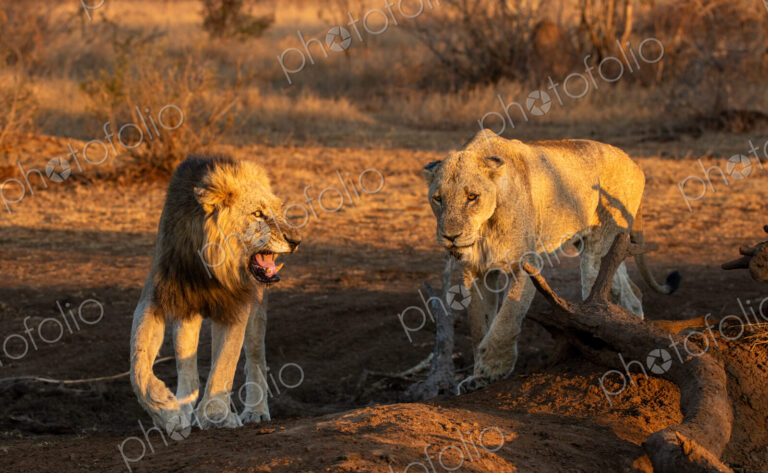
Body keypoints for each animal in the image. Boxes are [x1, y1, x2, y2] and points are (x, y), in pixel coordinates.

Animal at [130, 155, 301, 434]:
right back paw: (182, 406)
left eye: (278, 211)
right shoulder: (157, 297)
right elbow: (138, 363)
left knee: (255, 355)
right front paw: (167, 411)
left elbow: (225, 362)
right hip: (187, 313)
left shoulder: (237, 302)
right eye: (257, 214)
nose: (296, 239)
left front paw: (216, 414)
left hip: (257, 305)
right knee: (186, 365)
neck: (209, 264)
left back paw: (255, 410)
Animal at [422, 130, 680, 390]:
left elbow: (507, 319)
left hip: (597, 246)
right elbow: (479, 326)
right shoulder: (476, 273)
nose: (450, 236)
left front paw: (495, 368)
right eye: (438, 199)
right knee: (631, 292)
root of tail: (634, 163)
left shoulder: (525, 265)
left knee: (595, 298)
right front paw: (478, 377)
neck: (484, 228)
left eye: (472, 197)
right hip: (605, 245)